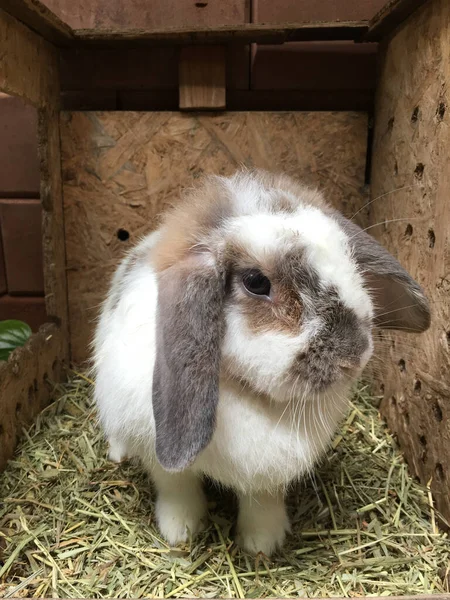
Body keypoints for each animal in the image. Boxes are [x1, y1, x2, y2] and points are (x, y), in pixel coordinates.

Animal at [93, 170, 430, 556]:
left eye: (347, 254)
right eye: (256, 282)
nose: (354, 355)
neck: (242, 389)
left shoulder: (268, 474)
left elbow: (261, 500)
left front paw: (262, 544)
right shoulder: (157, 452)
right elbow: (177, 487)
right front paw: (180, 532)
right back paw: (117, 453)